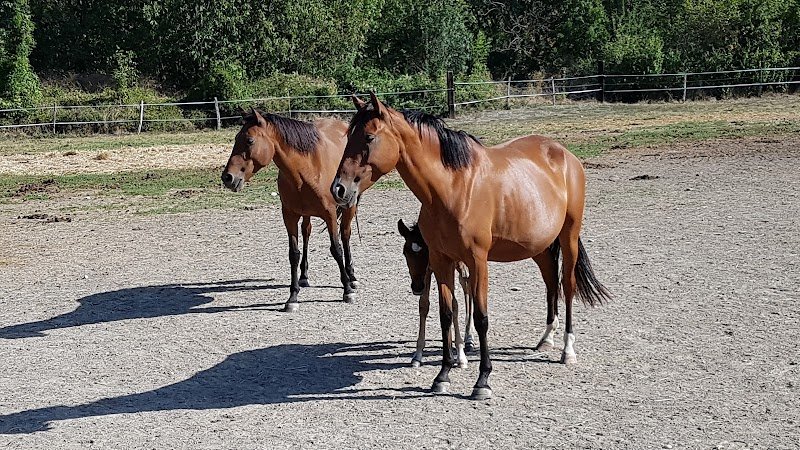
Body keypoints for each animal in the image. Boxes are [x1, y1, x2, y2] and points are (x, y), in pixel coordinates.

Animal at [222, 108, 371, 312]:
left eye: (249, 140)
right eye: (236, 138)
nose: (227, 177)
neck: (306, 169)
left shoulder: (330, 215)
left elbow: (336, 248)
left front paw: (347, 290)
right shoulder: (289, 216)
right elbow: (294, 254)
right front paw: (292, 297)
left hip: (349, 205)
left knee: (345, 234)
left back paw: (352, 276)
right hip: (306, 214)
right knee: (307, 232)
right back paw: (304, 276)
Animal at [397, 219, 473, 368]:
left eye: (426, 253)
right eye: (405, 252)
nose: (416, 287)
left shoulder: (449, 266)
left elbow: (454, 305)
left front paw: (461, 356)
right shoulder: (427, 272)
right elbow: (424, 305)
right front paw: (417, 355)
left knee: (467, 284)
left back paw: (469, 338)